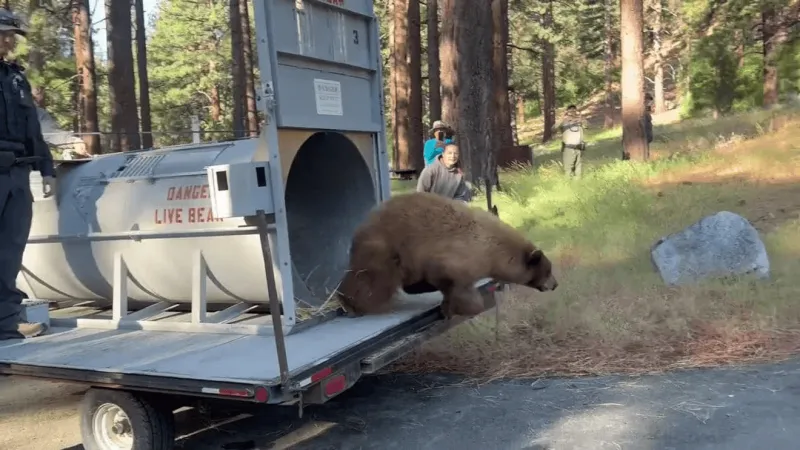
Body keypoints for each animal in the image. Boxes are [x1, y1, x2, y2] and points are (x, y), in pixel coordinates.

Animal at [335, 191, 558, 319]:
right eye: (548, 271)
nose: (555, 285)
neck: (492, 248)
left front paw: (446, 305)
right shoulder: (459, 256)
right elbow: (455, 283)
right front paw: (455, 308)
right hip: (385, 250)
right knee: (372, 282)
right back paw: (352, 303)